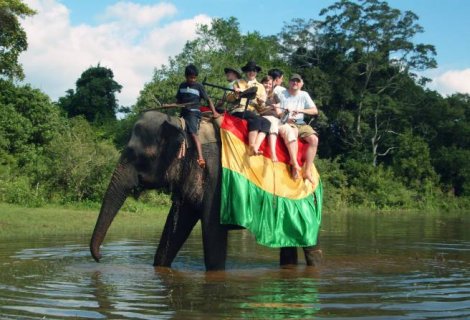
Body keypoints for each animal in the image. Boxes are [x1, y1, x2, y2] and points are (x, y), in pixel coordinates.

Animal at [89, 110, 322, 270]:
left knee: (309, 242)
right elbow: (175, 227)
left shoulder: (217, 178)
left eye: (137, 156)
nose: (100, 258)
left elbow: (213, 233)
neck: (183, 126)